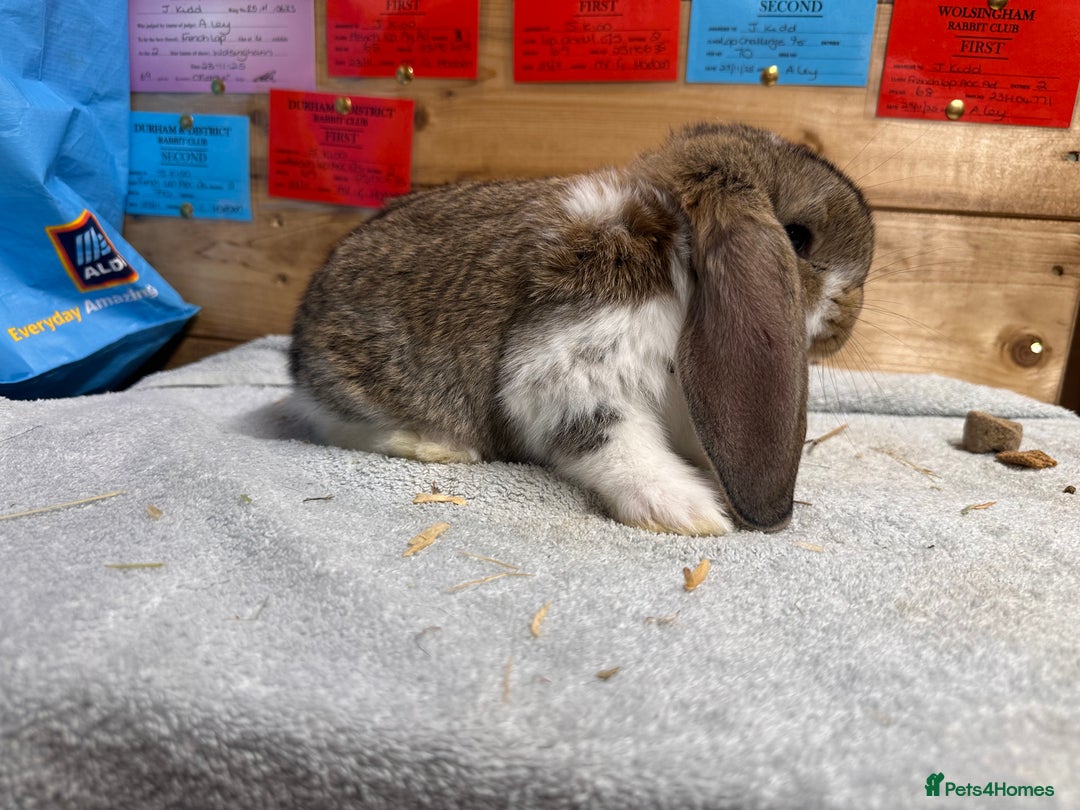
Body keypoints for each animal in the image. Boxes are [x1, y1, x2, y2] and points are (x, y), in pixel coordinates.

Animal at [288, 122, 874, 536]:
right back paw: (436, 446)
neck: (678, 251)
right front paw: (689, 510)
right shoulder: (572, 369)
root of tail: (297, 351)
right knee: (334, 427)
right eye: (797, 238)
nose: (849, 318)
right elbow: (612, 443)